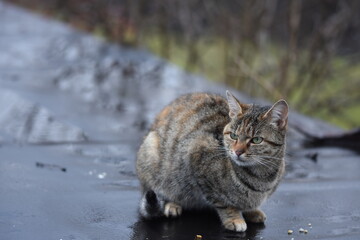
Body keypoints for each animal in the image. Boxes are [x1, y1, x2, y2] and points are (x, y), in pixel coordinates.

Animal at [136, 91, 288, 232]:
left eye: (256, 140)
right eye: (233, 136)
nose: (238, 152)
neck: (261, 176)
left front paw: (251, 211)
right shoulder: (196, 157)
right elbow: (224, 203)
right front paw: (234, 218)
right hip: (153, 157)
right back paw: (171, 204)